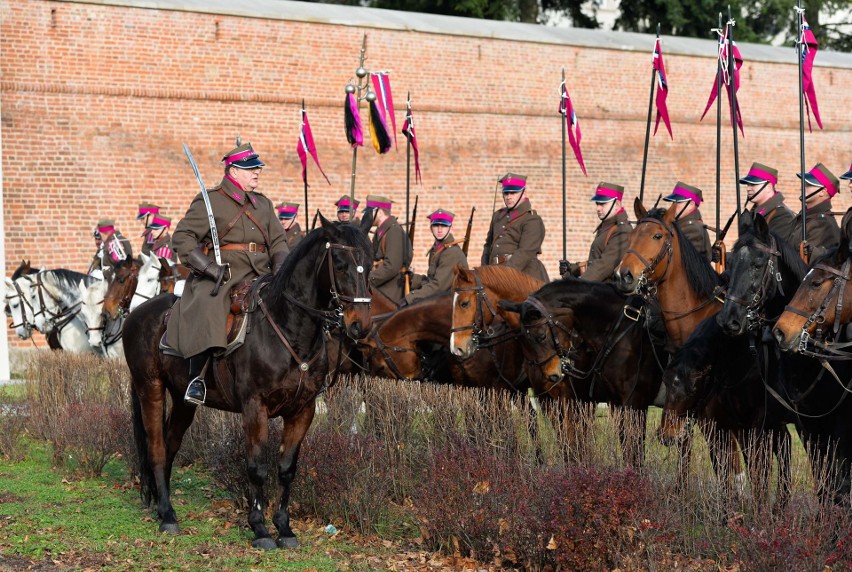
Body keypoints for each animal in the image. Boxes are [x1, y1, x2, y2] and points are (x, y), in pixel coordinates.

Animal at [124, 217, 372, 548]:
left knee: (170, 444)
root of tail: (135, 313)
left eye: (370, 264)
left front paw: (284, 528)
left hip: (182, 401)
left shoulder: (302, 411)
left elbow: (286, 468)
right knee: (156, 447)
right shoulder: (255, 409)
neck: (289, 330)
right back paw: (167, 514)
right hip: (149, 388)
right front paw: (260, 528)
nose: (360, 325)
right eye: (341, 264)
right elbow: (256, 467)